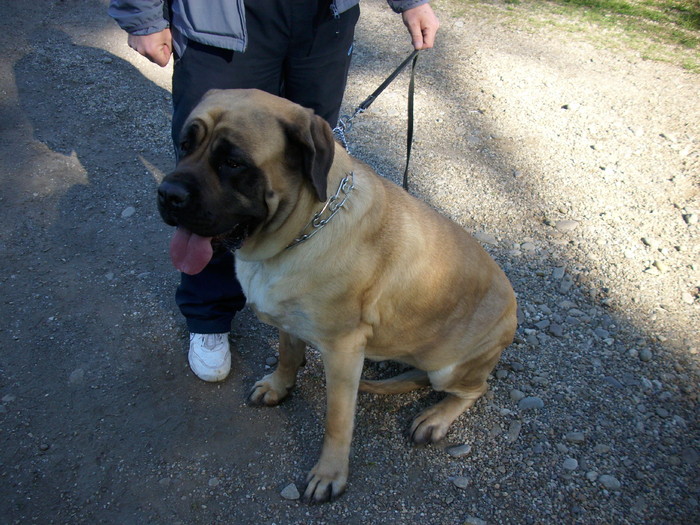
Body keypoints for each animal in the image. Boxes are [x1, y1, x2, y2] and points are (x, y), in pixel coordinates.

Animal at [159, 88, 520, 502]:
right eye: (185, 145)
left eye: (233, 162)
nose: (167, 194)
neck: (304, 227)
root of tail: (513, 313)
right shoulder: (290, 323)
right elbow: (288, 356)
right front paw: (278, 387)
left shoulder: (343, 351)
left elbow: (337, 420)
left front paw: (330, 473)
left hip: (449, 365)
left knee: (474, 389)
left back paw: (436, 417)